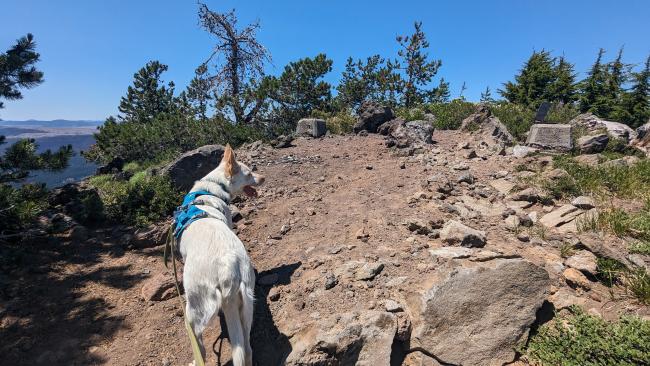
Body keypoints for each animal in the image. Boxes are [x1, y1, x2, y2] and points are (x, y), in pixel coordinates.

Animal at [177, 144, 264, 364]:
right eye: (249, 173)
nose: (263, 178)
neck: (212, 189)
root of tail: (228, 269)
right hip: (246, 304)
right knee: (247, 350)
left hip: (193, 311)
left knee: (200, 347)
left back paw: (195, 361)